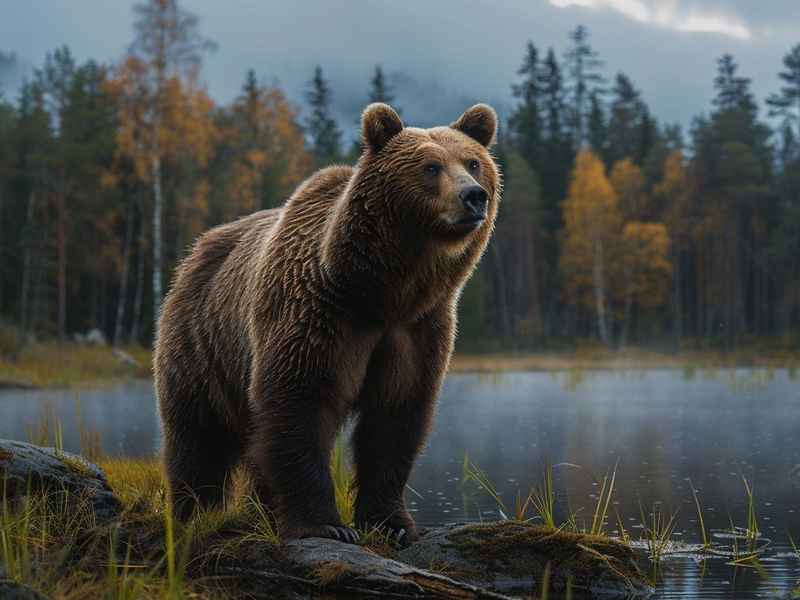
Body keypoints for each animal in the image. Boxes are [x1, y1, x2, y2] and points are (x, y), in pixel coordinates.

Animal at [154, 102, 500, 544]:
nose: (474, 196)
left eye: (473, 162)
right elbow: (301, 400)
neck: (382, 290)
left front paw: (394, 524)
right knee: (197, 435)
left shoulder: (418, 328)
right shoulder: (319, 313)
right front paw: (327, 524)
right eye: (430, 166)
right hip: (202, 343)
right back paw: (191, 514)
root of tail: (195, 252)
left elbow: (396, 417)